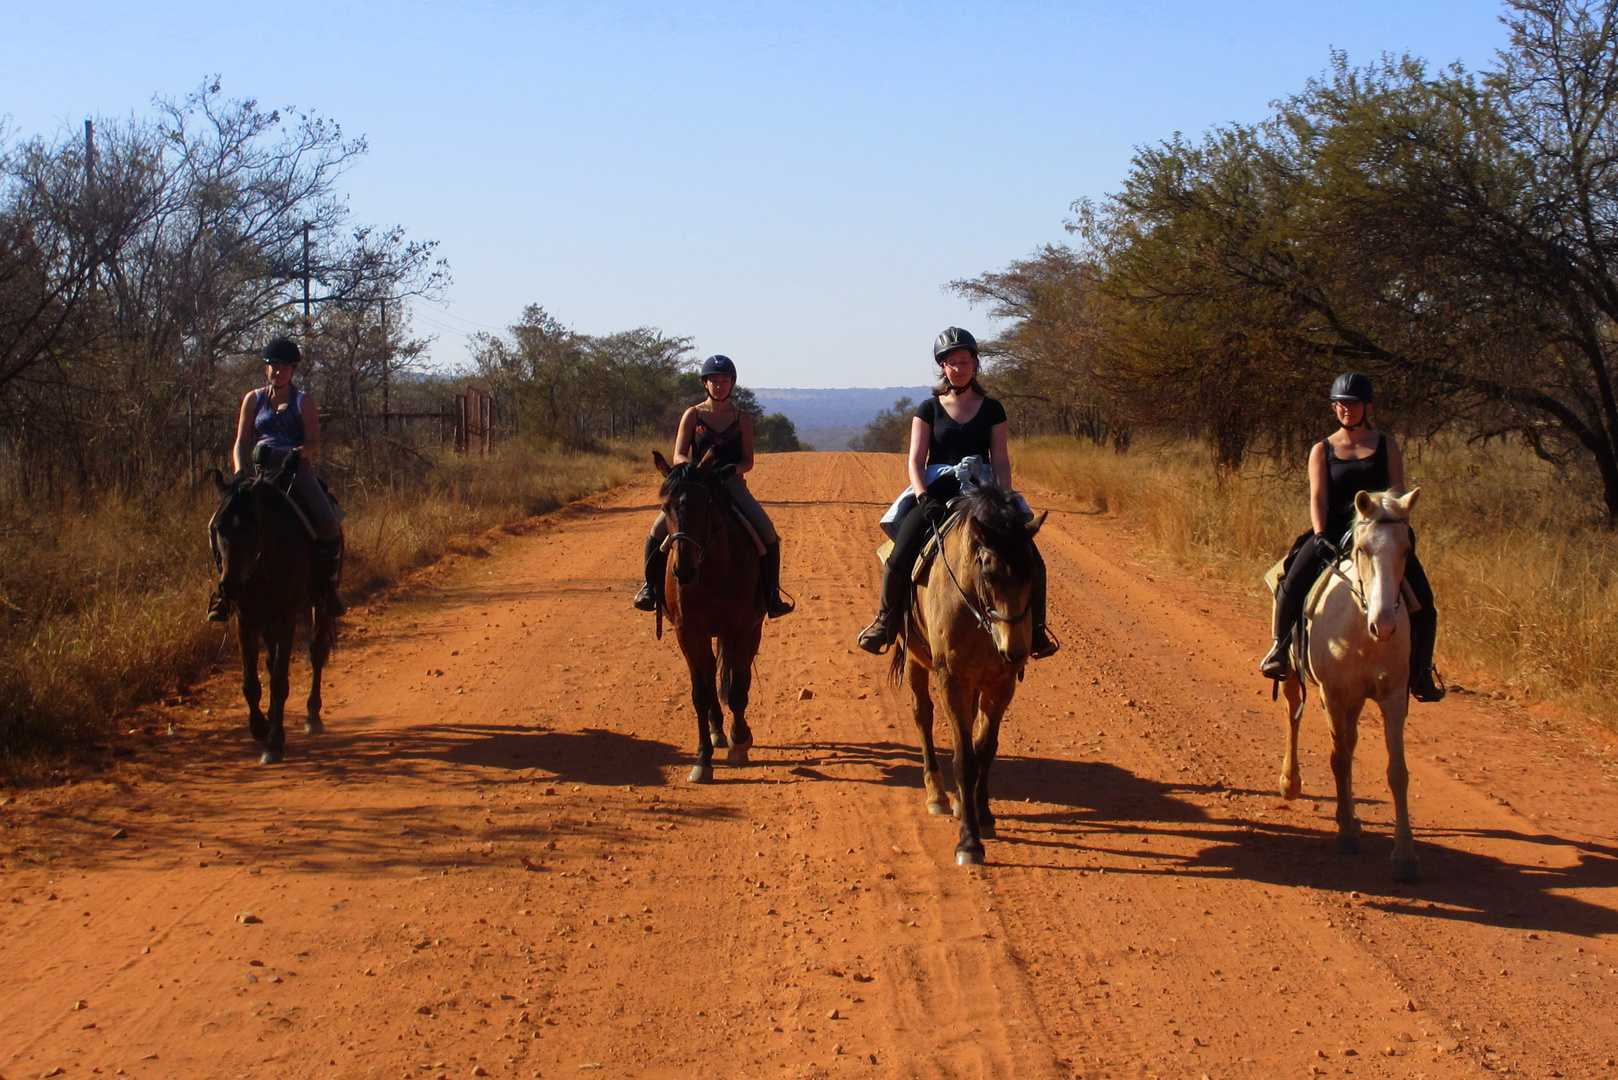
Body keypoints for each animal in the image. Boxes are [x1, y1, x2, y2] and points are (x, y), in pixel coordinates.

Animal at [210, 459, 336, 764]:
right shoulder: (246, 620)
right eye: (218, 528)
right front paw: (259, 728)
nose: (229, 588)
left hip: (320, 604)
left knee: (317, 654)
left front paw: (274, 742)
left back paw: (312, 716)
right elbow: (250, 683)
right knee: (269, 663)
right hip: (266, 621)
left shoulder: (286, 617)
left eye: (252, 528)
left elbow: (279, 681)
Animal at [650, 450, 763, 786]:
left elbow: (738, 689)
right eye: (665, 507)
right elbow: (700, 693)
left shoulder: (742, 629)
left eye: (705, 504)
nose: (682, 571)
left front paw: (740, 741)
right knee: (711, 674)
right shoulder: (688, 632)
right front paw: (703, 760)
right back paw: (716, 731)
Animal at [893, 485, 1041, 867]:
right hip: (914, 658)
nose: (1015, 650)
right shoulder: (953, 679)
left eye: (1032, 574)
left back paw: (962, 802)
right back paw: (937, 793)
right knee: (923, 715)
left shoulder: (1000, 683)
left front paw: (983, 814)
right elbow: (964, 760)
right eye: (988, 576)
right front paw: (969, 842)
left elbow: (984, 749)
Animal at [1281, 488, 1423, 887]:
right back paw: (1291, 782)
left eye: (1406, 548)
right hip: (1295, 676)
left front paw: (1404, 855)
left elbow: (1397, 772)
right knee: (1294, 717)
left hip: (1357, 700)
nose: (1384, 624)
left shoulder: (1394, 697)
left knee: (1352, 737)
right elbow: (1339, 758)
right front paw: (1344, 832)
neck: (1362, 631)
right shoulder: (1332, 693)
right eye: (1362, 548)